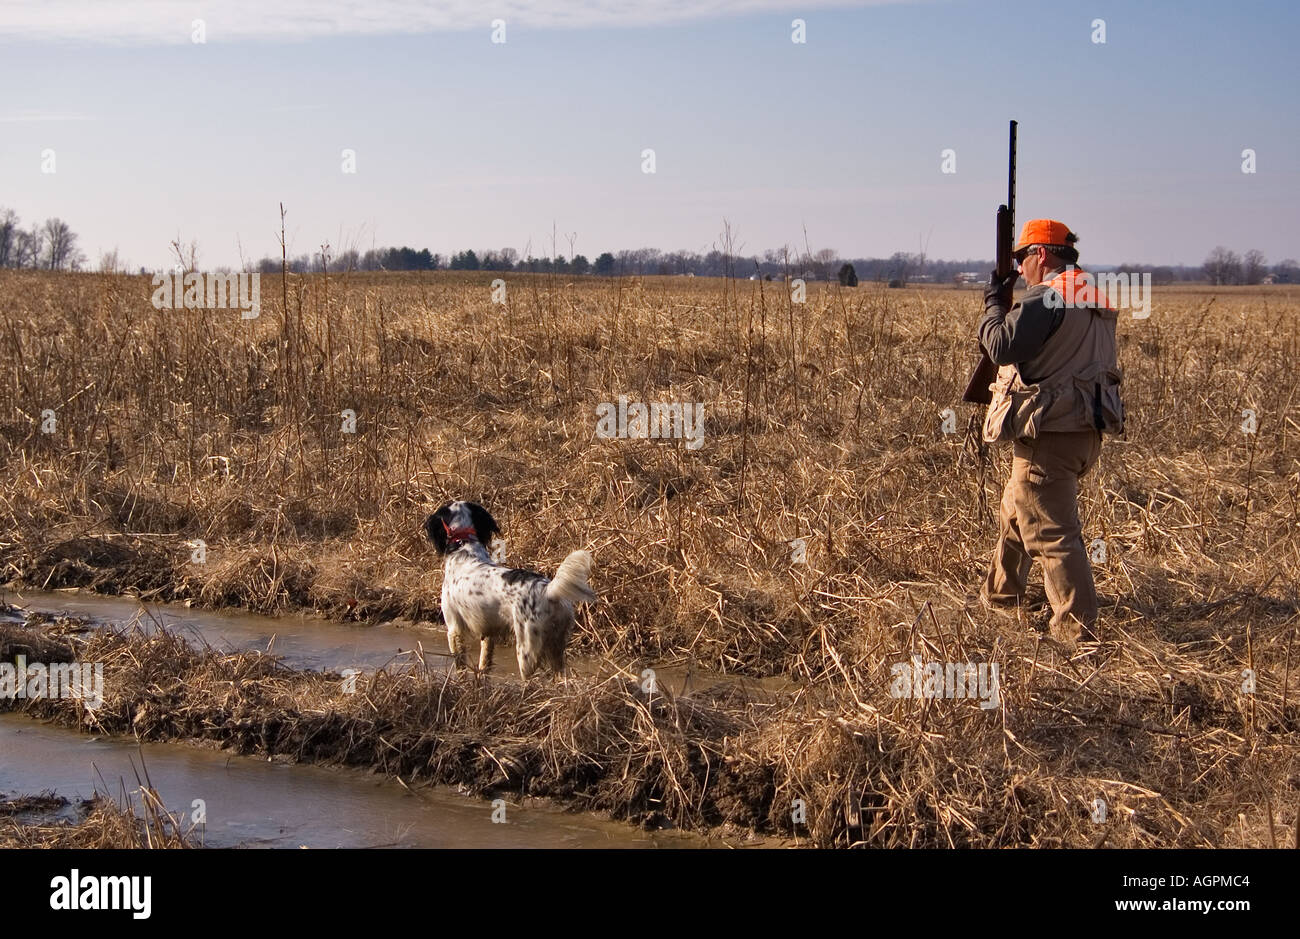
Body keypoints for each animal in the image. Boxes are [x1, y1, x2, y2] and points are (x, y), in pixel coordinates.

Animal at [423, 502, 595, 676]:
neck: (464, 546)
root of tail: (549, 590)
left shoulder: (454, 629)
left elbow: (460, 668)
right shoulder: (488, 632)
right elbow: (484, 663)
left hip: (527, 649)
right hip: (557, 647)